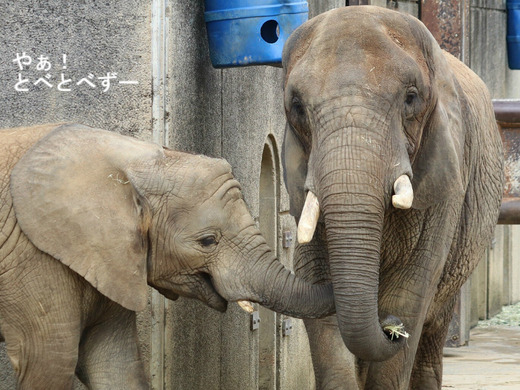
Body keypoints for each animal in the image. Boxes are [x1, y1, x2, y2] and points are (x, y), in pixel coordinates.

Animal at [0, 123, 334, 388]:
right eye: (208, 241)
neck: (132, 163)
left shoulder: (114, 259)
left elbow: (113, 361)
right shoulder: (32, 257)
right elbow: (50, 363)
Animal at [282, 6, 506, 390]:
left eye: (411, 98)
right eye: (296, 106)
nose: (391, 329)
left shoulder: (447, 175)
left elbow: (410, 290)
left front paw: (399, 321)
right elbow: (316, 283)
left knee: (433, 326)